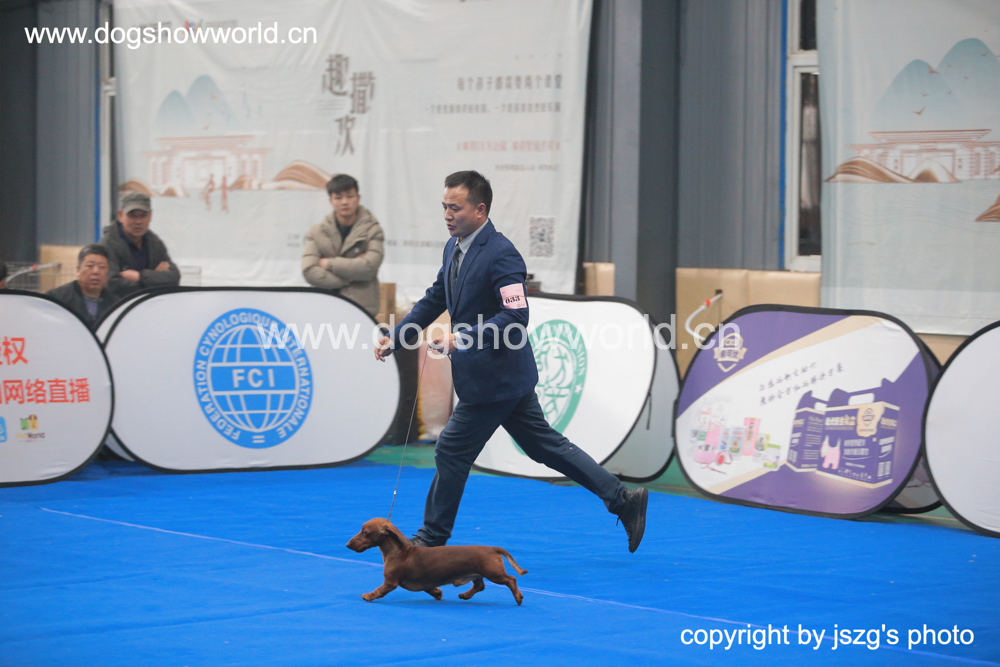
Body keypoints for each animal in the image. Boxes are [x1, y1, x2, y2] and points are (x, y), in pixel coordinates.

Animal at [346, 517, 527, 605]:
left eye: (365, 532)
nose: (347, 544)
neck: (400, 552)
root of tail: (492, 548)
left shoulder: (390, 582)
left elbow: (379, 590)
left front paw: (368, 596)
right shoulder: (423, 581)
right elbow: (430, 588)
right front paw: (437, 593)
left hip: (493, 573)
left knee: (511, 579)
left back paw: (518, 597)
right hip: (477, 574)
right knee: (480, 586)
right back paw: (465, 595)